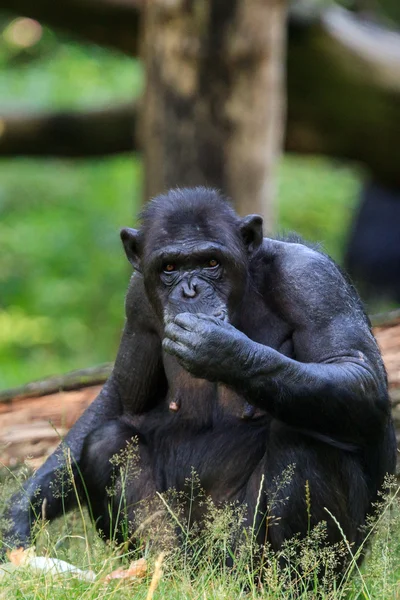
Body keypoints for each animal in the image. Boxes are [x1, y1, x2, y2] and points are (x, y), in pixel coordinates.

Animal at [3, 188, 396, 564]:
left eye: (211, 262)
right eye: (170, 267)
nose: (191, 290)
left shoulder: (313, 281)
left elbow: (354, 369)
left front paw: (220, 348)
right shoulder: (136, 299)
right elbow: (120, 400)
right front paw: (18, 516)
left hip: (266, 551)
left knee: (305, 439)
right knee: (106, 441)